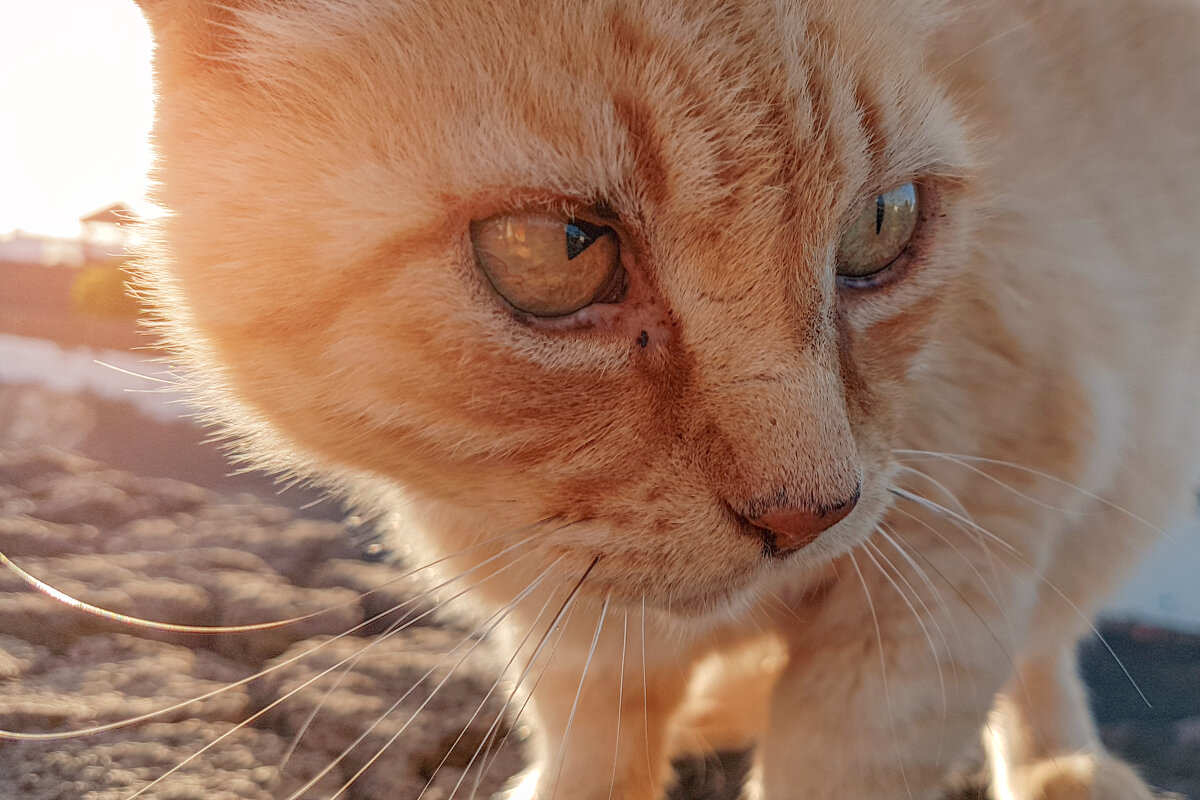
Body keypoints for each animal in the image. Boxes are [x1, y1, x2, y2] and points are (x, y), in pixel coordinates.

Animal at [133, 1, 1200, 800]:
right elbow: (591, 736)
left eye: (883, 225)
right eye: (556, 251)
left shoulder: (958, 549)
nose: (809, 514)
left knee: (1048, 645)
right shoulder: (567, 629)